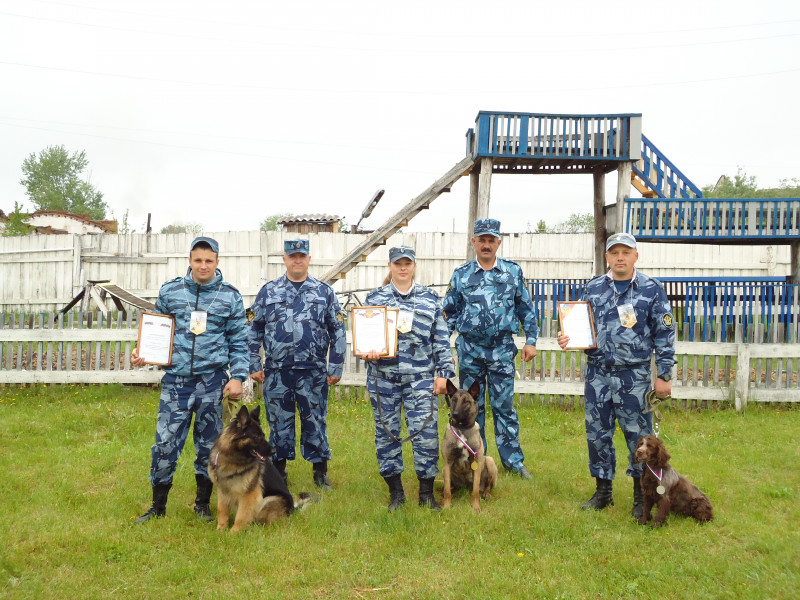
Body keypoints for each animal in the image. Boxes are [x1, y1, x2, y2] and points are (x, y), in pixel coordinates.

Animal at [440, 380, 496, 510]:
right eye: (454, 399)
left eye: (466, 401)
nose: (455, 414)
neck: (462, 429)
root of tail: (465, 486)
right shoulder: (447, 463)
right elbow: (447, 490)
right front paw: (447, 506)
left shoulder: (477, 463)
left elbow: (475, 491)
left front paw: (475, 507)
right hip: (444, 470)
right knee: (450, 487)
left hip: (490, 461)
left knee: (488, 486)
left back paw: (486, 493)